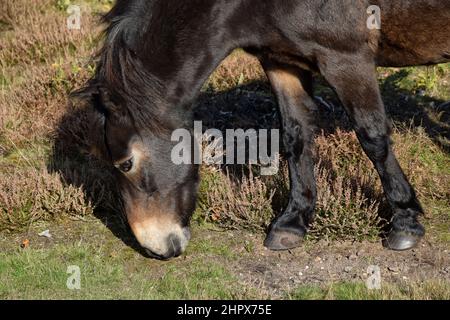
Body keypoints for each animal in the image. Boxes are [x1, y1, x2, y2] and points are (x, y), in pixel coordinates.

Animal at [75, 0, 448, 260]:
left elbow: (372, 137)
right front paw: (292, 223)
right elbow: (296, 136)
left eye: (126, 163)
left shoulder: (346, 58)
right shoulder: (281, 60)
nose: (156, 248)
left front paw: (405, 221)